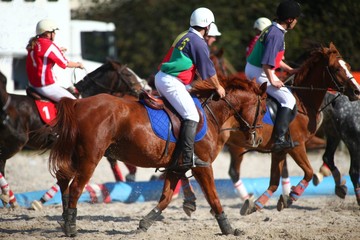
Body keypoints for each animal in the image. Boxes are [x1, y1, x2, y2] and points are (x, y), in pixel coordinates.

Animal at [0, 60, 146, 208]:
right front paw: (42, 200)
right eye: (128, 74)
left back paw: (8, 198)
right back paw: (9, 197)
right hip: (17, 142)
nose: (143, 89)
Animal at [47, 76, 268, 237]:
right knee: (76, 187)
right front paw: (228, 228)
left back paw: (65, 219)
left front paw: (145, 223)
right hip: (90, 158)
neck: (210, 113)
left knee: (63, 179)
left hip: (77, 156)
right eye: (264, 110)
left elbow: (166, 198)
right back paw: (71, 227)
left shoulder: (176, 167)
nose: (257, 139)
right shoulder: (202, 166)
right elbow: (213, 197)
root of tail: (78, 103)